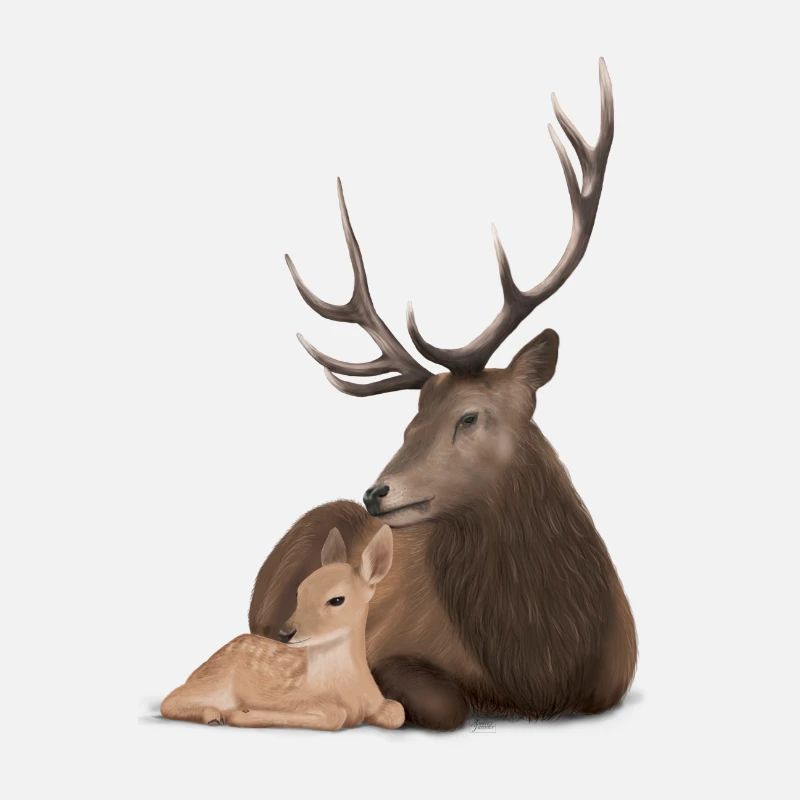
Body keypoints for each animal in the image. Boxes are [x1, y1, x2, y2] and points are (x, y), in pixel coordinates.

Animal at [163, 525, 405, 730]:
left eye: (337, 599)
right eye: (299, 592)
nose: (285, 632)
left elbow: (398, 711)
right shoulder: (295, 699)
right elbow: (336, 716)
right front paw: (243, 713)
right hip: (216, 681)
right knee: (169, 700)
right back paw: (213, 714)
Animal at [250, 58, 637, 730]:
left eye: (469, 417)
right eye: (409, 422)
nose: (376, 492)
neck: (540, 670)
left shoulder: (617, 676)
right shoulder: (386, 648)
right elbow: (444, 704)